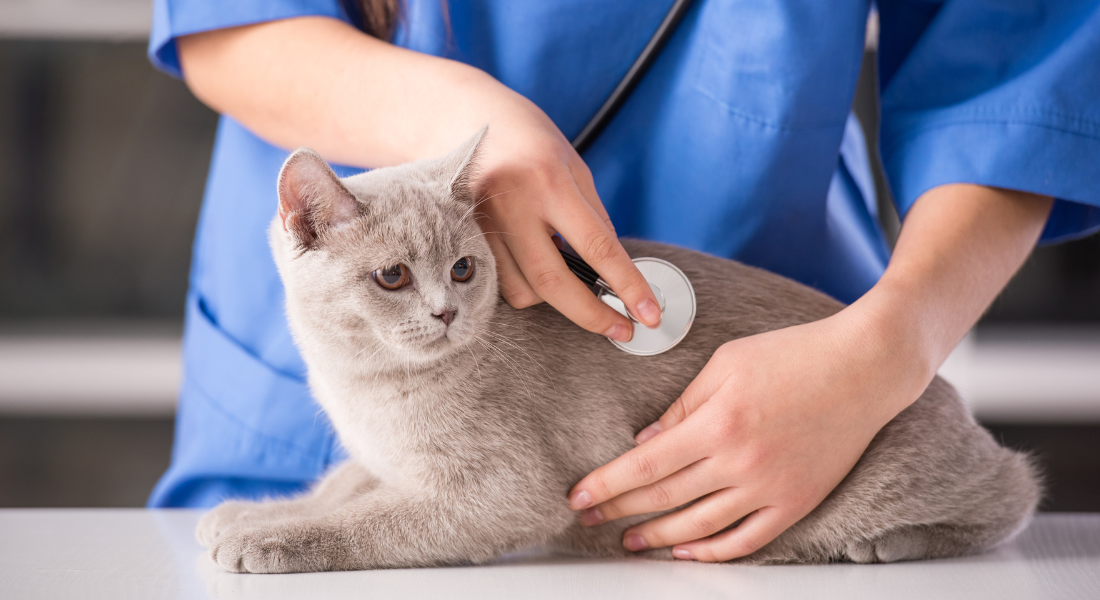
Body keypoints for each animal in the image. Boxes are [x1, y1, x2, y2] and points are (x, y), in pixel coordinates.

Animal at [195, 129, 1038, 572]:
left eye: (463, 268)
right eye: (393, 276)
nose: (445, 311)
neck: (364, 385)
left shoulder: (504, 492)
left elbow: (370, 521)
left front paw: (265, 538)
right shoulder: (379, 458)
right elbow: (341, 487)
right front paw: (245, 512)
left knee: (1014, 489)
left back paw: (885, 544)